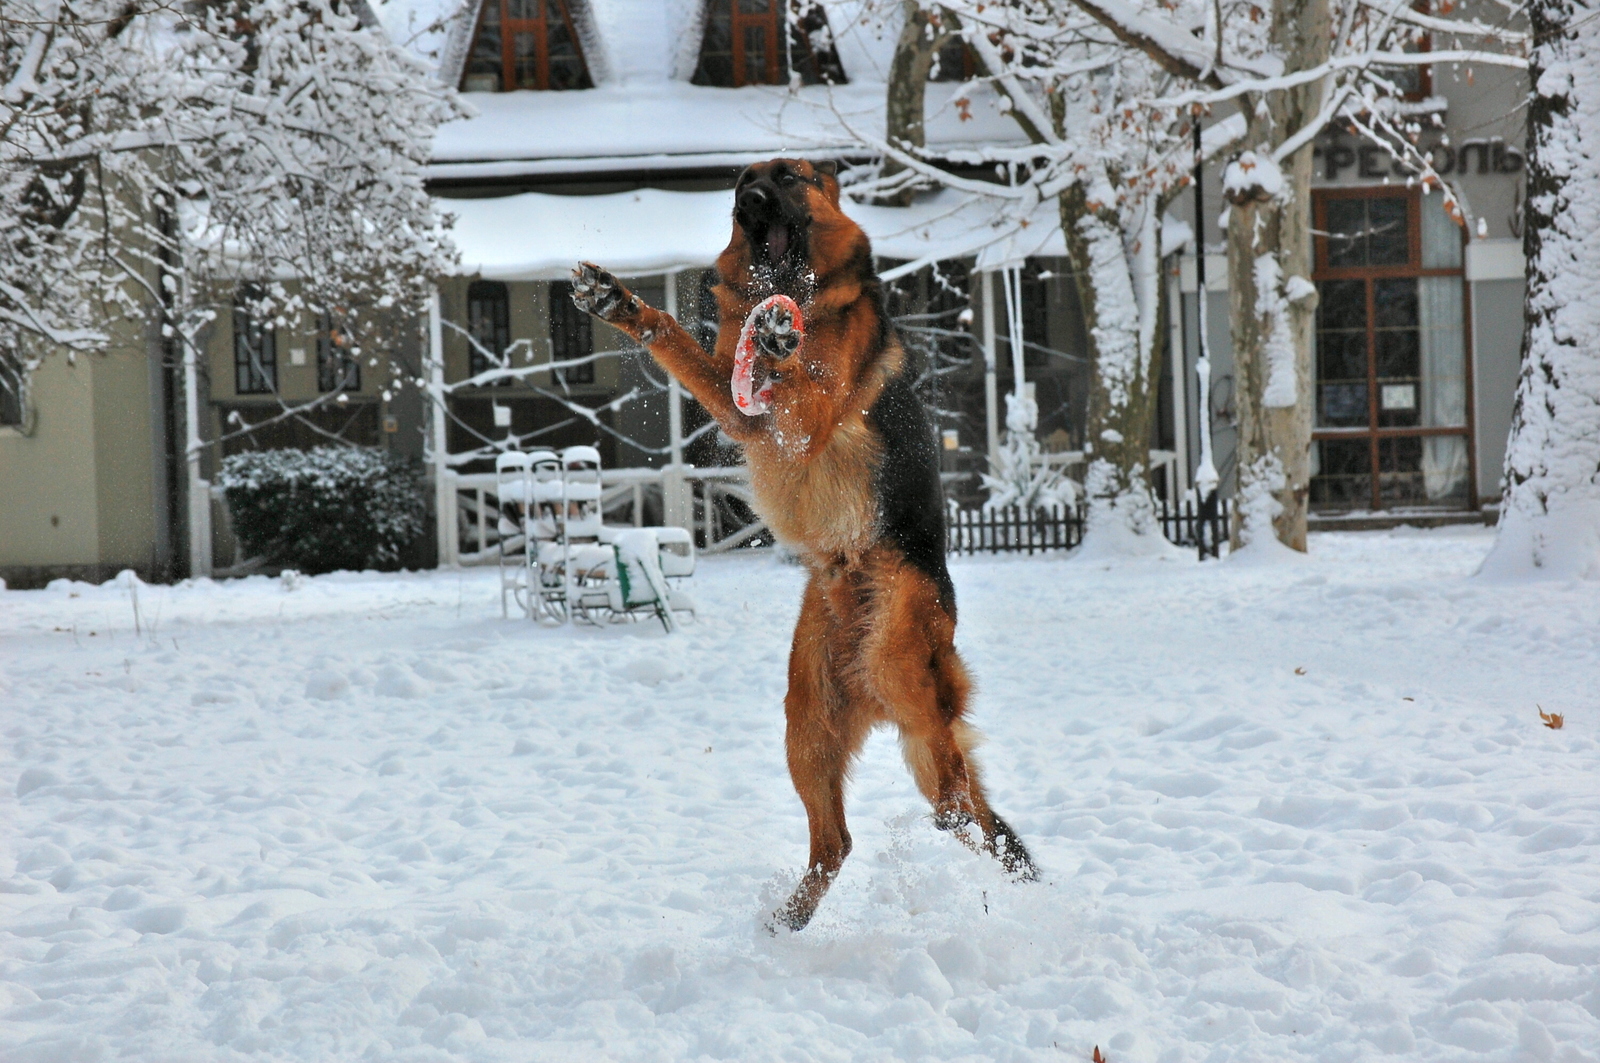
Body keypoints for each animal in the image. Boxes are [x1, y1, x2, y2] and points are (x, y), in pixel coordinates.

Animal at [576, 157, 1036, 928]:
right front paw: (621, 303)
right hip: (807, 720)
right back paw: (785, 921)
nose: (750, 199)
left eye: (789, 177)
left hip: (898, 652)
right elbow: (678, 341)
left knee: (954, 787)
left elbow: (801, 380)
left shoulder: (810, 415)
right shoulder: (743, 413)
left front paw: (778, 345)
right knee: (840, 840)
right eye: (743, 180)